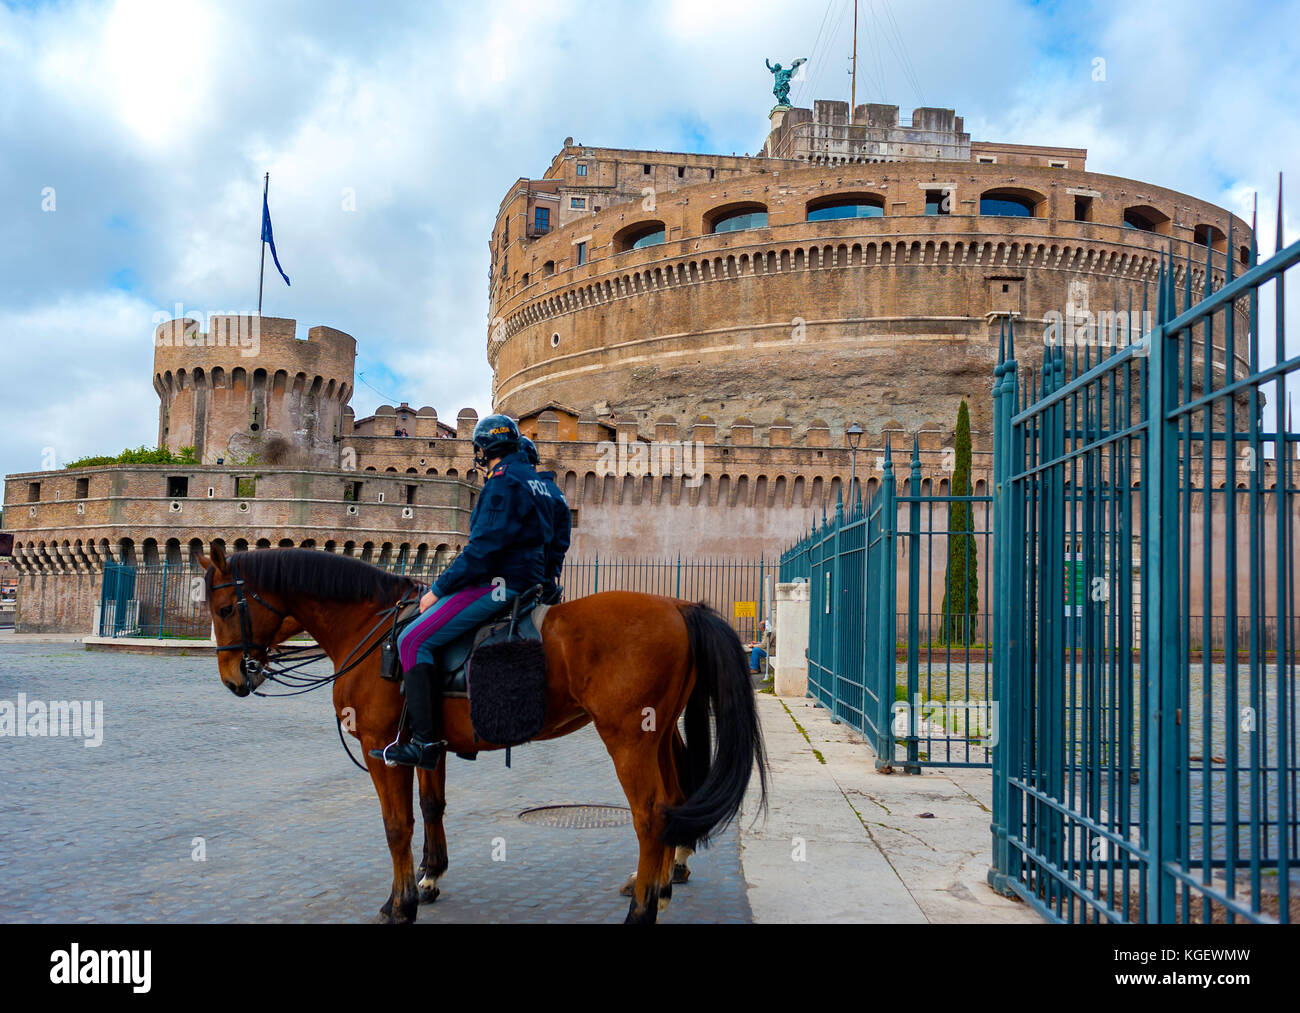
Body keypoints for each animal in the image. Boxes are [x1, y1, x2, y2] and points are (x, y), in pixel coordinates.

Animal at [197, 545, 767, 924]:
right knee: (672, 802)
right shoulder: (427, 746)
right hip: (657, 734)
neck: (372, 630)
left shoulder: (381, 750)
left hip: (629, 738)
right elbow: (431, 809)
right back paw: (659, 886)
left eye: (224, 609)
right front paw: (429, 879)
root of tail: (679, 606)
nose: (233, 679)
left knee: (650, 817)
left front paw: (399, 903)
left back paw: (644, 909)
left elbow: (396, 826)